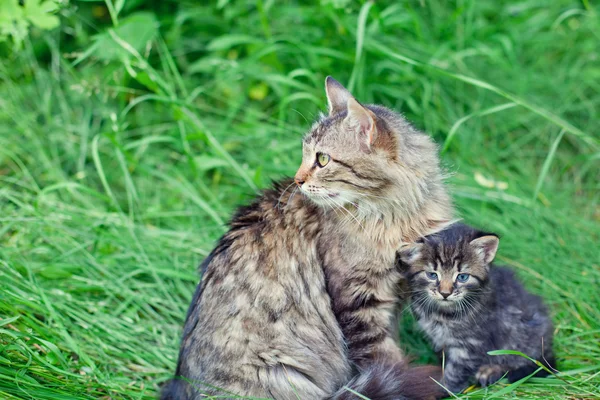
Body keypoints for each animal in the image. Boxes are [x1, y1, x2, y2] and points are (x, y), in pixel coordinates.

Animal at [162, 76, 452, 398]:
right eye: (305, 155)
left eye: (322, 159)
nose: (297, 180)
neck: (393, 216)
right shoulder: (359, 299)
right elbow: (383, 358)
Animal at [396, 222, 556, 394]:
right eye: (432, 275)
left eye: (462, 277)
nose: (445, 293)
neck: (442, 313)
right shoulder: (440, 340)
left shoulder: (471, 344)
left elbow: (456, 371)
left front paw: (443, 390)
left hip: (524, 334)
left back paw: (492, 370)